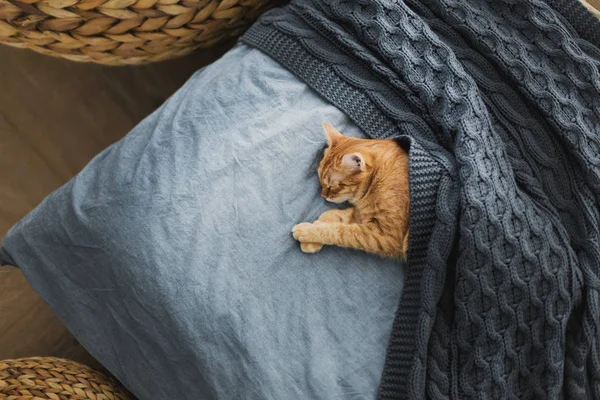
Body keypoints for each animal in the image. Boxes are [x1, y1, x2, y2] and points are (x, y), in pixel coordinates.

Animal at [292, 122, 412, 260]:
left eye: (333, 186)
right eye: (320, 178)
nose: (322, 195)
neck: (377, 180)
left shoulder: (384, 236)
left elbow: (341, 232)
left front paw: (308, 231)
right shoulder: (362, 215)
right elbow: (336, 215)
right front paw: (317, 229)